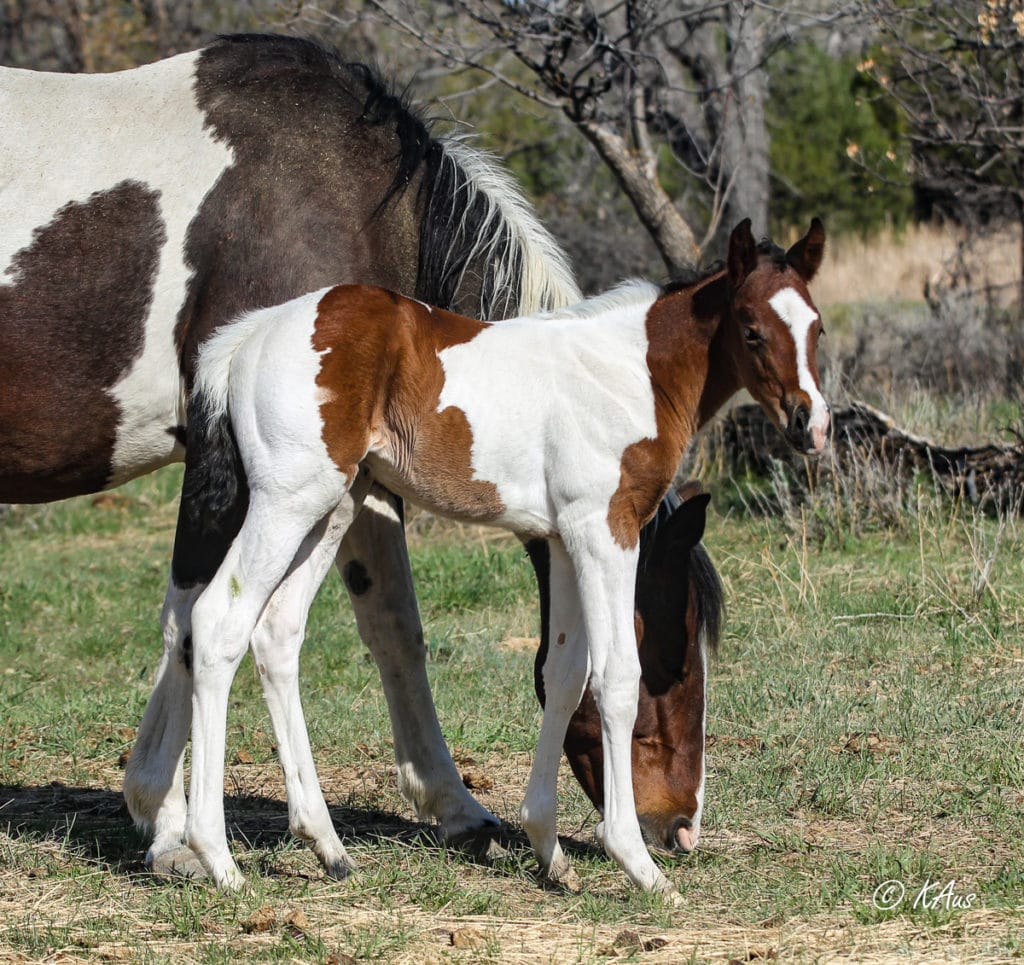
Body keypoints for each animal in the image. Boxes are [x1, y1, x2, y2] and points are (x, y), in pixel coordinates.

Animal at [182, 217, 823, 897]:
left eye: (816, 329)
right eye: (751, 329)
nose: (809, 424)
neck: (631, 375)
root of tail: (248, 336)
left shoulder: (566, 540)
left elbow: (565, 675)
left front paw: (550, 851)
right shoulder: (606, 529)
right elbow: (615, 678)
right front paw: (638, 866)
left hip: (332, 507)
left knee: (277, 633)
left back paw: (327, 846)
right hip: (287, 501)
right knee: (218, 624)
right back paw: (217, 858)